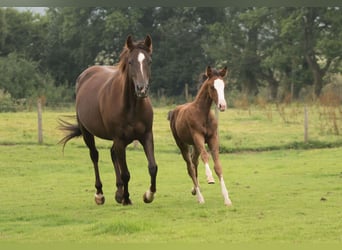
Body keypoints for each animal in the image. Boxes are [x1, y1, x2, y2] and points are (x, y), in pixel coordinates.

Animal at [58, 35, 158, 207]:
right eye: (130, 62)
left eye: (149, 61)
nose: (141, 89)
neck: (132, 106)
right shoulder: (119, 139)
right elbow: (126, 173)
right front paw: (126, 198)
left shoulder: (146, 135)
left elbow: (152, 167)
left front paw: (148, 195)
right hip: (88, 134)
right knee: (95, 156)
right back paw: (100, 194)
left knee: (112, 154)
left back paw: (118, 193)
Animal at [168, 65, 232, 206]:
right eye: (212, 86)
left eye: (224, 86)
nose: (222, 105)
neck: (203, 114)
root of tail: (175, 111)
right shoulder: (198, 136)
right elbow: (205, 156)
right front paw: (209, 178)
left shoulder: (213, 138)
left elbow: (218, 166)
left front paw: (227, 199)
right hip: (182, 144)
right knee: (190, 167)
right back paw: (200, 197)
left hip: (194, 145)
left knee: (194, 162)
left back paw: (195, 191)